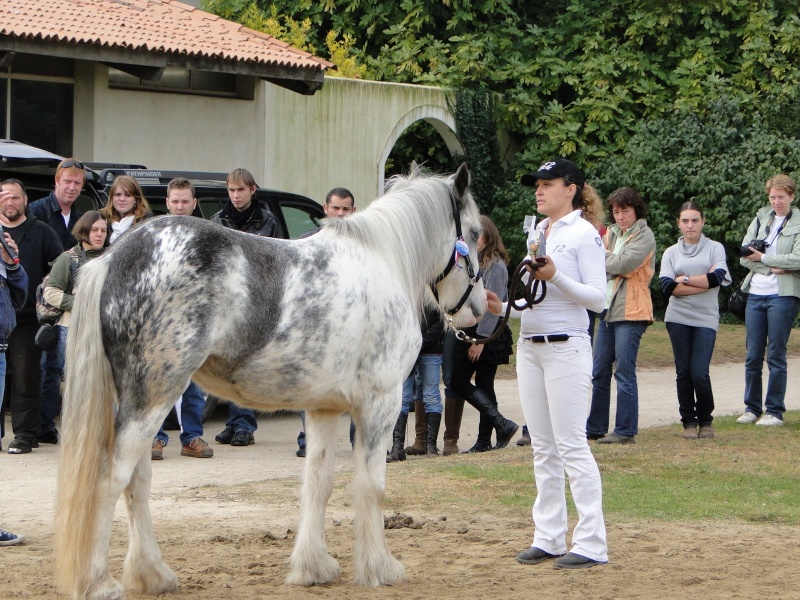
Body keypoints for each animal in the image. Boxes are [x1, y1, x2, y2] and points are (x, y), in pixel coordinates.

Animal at [54, 164, 488, 600]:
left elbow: (318, 482)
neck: (384, 260)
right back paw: (99, 584)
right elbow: (371, 487)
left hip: (140, 403)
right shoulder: (380, 403)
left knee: (138, 483)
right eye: (472, 234)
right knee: (111, 481)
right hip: (152, 400)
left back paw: (153, 574)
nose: (479, 311)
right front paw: (380, 568)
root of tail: (114, 258)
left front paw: (313, 567)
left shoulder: (323, 408)